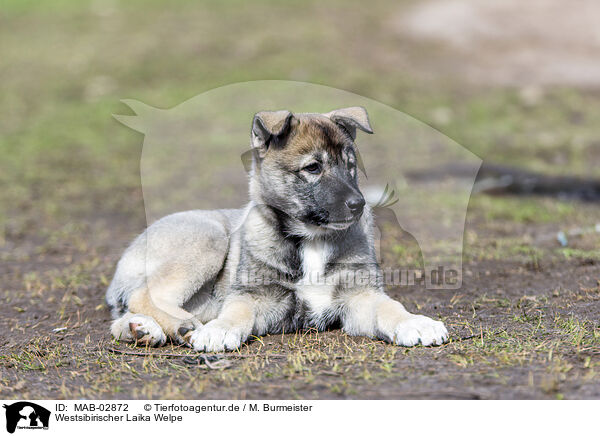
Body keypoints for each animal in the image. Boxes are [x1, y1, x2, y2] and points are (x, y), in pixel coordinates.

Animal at [105, 107, 448, 352]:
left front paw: (416, 323)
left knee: (125, 312)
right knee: (143, 295)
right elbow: (236, 313)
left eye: (350, 166)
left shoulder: (360, 296)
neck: (311, 239)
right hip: (209, 239)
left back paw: (141, 330)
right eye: (313, 168)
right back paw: (182, 327)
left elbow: (391, 307)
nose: (358, 204)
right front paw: (219, 330)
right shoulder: (253, 296)